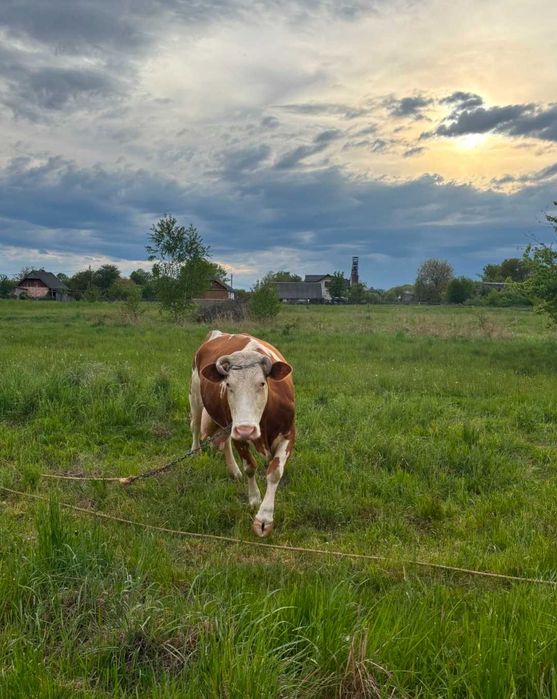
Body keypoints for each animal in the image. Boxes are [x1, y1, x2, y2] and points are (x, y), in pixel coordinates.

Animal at [189, 331, 295, 537]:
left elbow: (275, 472)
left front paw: (265, 518)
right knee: (196, 426)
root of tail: (217, 333)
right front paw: (254, 499)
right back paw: (196, 451)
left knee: (222, 442)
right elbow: (250, 467)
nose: (246, 429)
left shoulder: (289, 434)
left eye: (262, 383)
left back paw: (234, 471)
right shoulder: (238, 434)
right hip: (196, 396)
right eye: (228, 384)